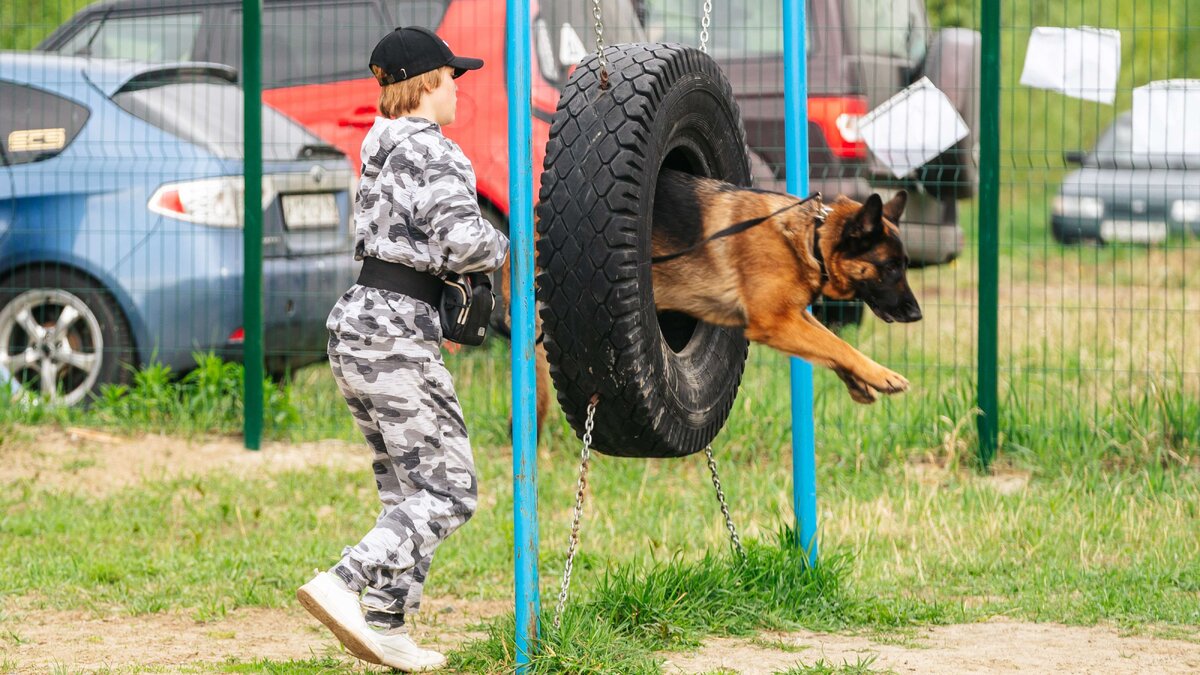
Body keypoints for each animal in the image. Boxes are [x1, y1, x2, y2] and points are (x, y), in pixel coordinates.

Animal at [492, 168, 921, 427]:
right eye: (890, 267)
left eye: (904, 265)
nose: (916, 315)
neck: (809, 237)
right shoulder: (775, 322)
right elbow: (837, 345)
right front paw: (883, 375)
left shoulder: (791, 317)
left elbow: (832, 345)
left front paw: (861, 383)